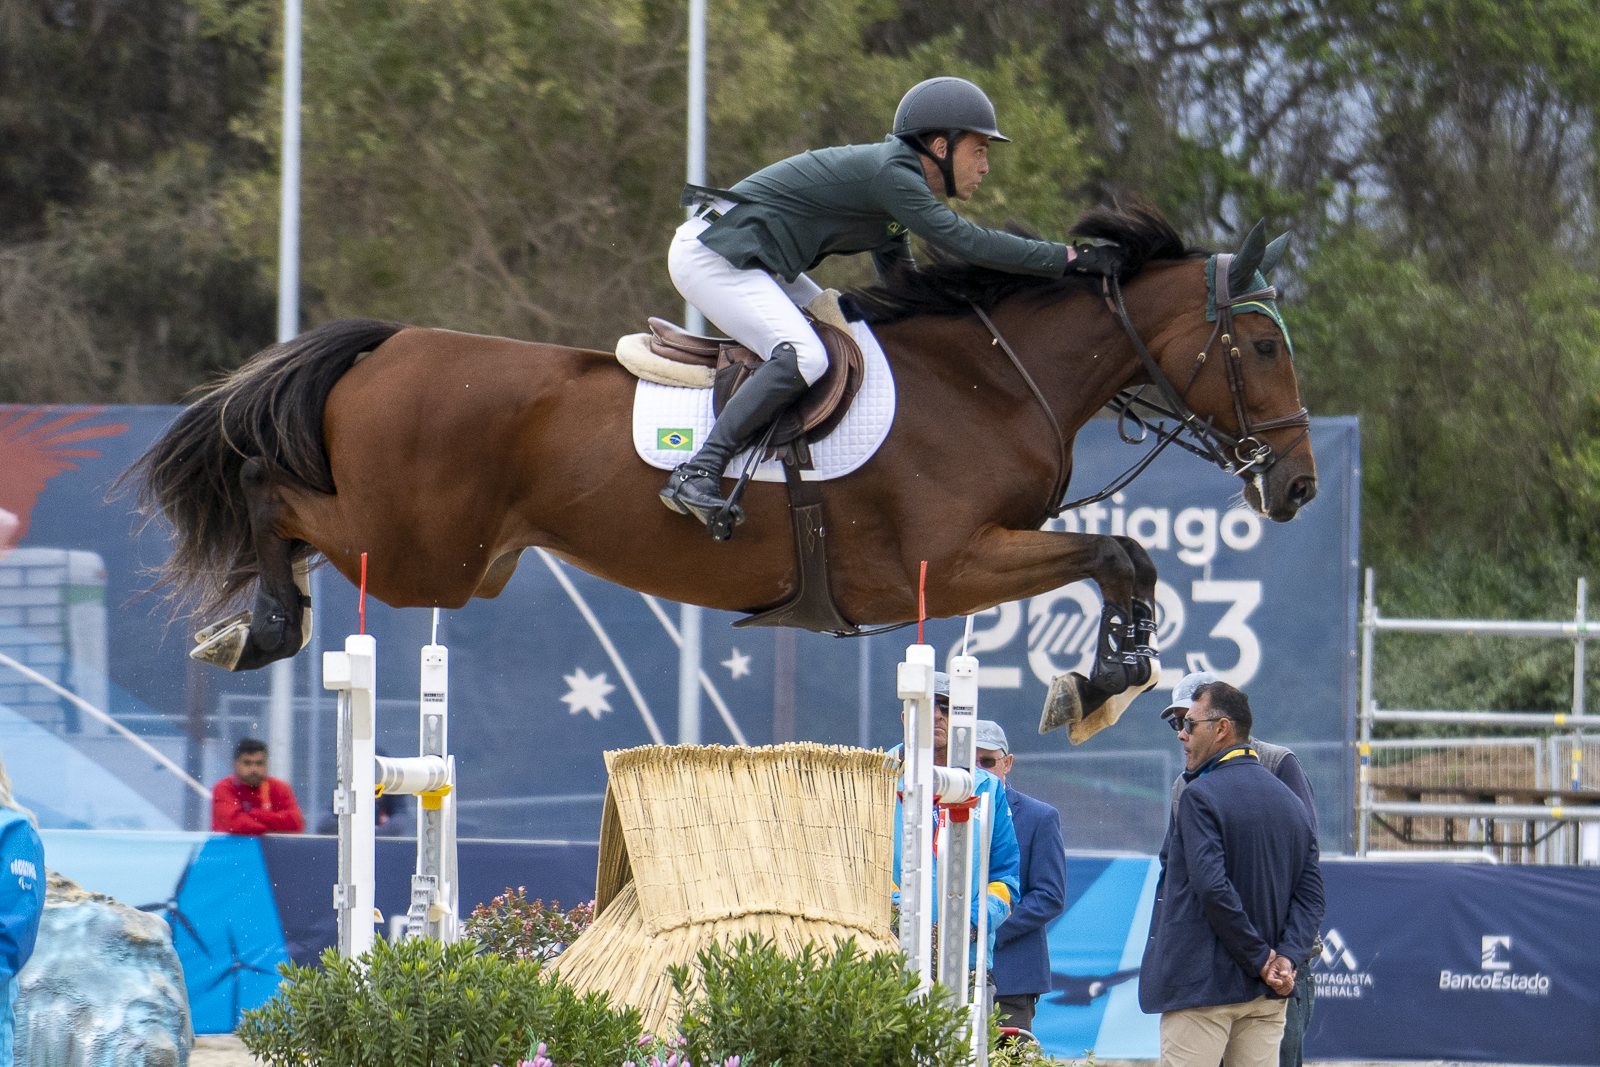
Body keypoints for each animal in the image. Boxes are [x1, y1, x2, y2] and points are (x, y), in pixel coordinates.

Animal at [124, 202, 1318, 735]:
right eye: (1263, 346)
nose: (1298, 485)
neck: (990, 377)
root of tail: (389, 343)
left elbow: (1125, 558)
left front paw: (1107, 676)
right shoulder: (948, 563)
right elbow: (1116, 553)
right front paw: (1101, 678)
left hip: (458, 561)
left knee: (284, 512)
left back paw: (260, 619)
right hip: (423, 554)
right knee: (267, 492)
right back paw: (256, 627)